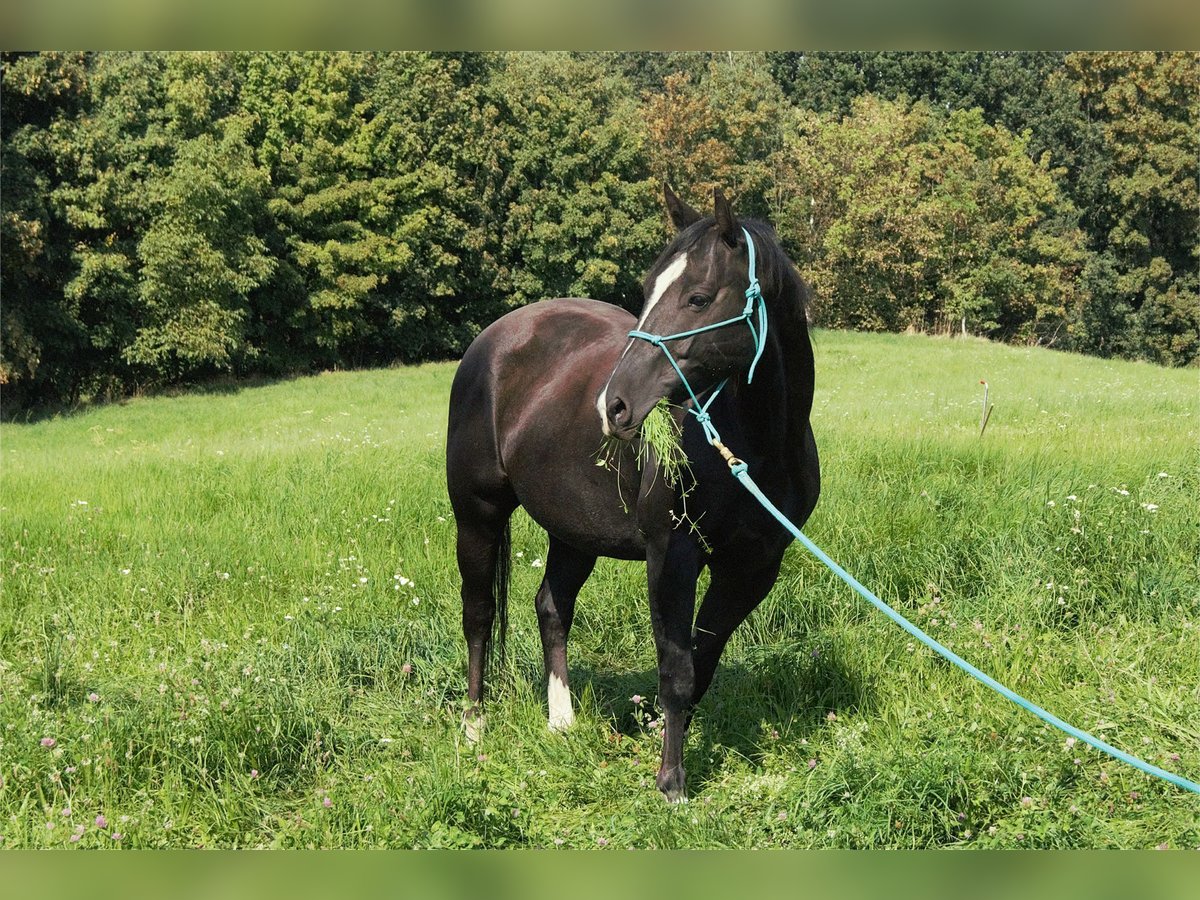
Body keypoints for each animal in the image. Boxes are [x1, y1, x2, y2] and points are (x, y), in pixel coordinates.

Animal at [445, 185, 820, 801]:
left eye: (698, 298)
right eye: (645, 293)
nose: (612, 405)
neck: (756, 449)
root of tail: (494, 340)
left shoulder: (753, 568)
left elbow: (701, 664)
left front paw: (666, 747)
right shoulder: (672, 555)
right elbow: (676, 668)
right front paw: (671, 783)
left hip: (573, 531)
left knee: (552, 608)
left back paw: (562, 722)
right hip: (477, 514)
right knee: (478, 615)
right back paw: (474, 727)